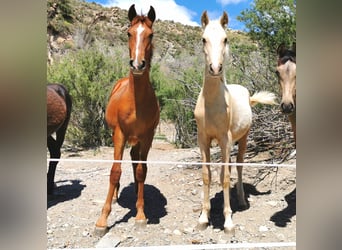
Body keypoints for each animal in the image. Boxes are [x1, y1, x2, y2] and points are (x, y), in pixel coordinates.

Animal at [95, 3, 159, 231]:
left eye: (150, 34)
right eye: (129, 33)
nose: (138, 65)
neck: (135, 103)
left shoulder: (147, 136)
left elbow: (141, 171)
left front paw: (140, 213)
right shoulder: (119, 134)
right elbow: (115, 172)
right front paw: (102, 220)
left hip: (137, 141)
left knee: (135, 163)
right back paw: (115, 197)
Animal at [194, 10, 276, 233]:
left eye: (225, 39)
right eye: (203, 39)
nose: (215, 68)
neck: (212, 105)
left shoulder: (225, 140)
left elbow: (225, 177)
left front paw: (228, 221)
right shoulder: (203, 140)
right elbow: (207, 175)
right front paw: (203, 218)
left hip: (242, 139)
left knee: (237, 167)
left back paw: (241, 200)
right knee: (228, 168)